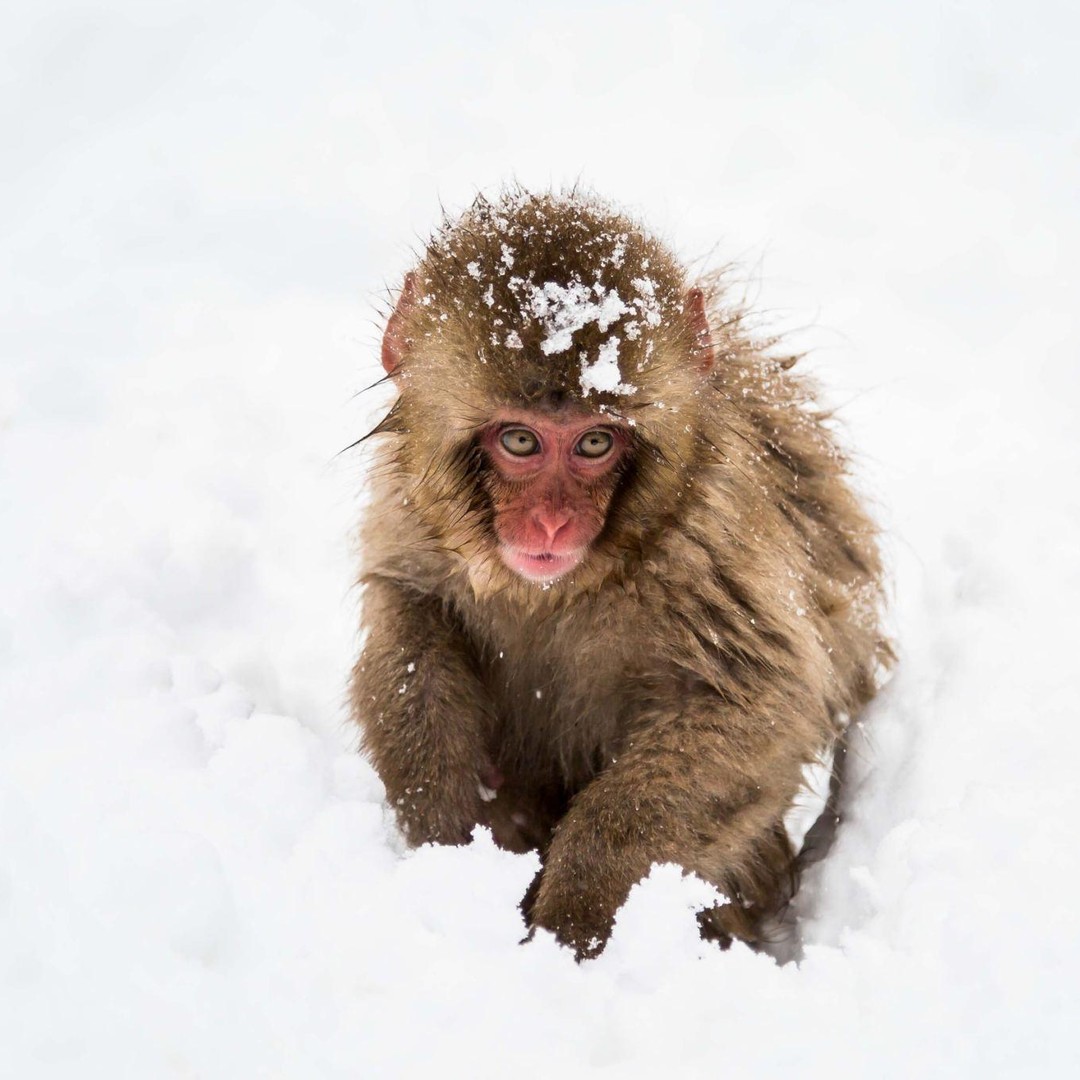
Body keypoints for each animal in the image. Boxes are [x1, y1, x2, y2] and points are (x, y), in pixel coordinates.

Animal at [350, 189, 890, 959]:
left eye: (595, 443)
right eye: (521, 440)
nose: (551, 524)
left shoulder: (712, 543)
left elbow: (760, 703)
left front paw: (573, 916)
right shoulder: (413, 514)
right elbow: (411, 617)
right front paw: (445, 836)